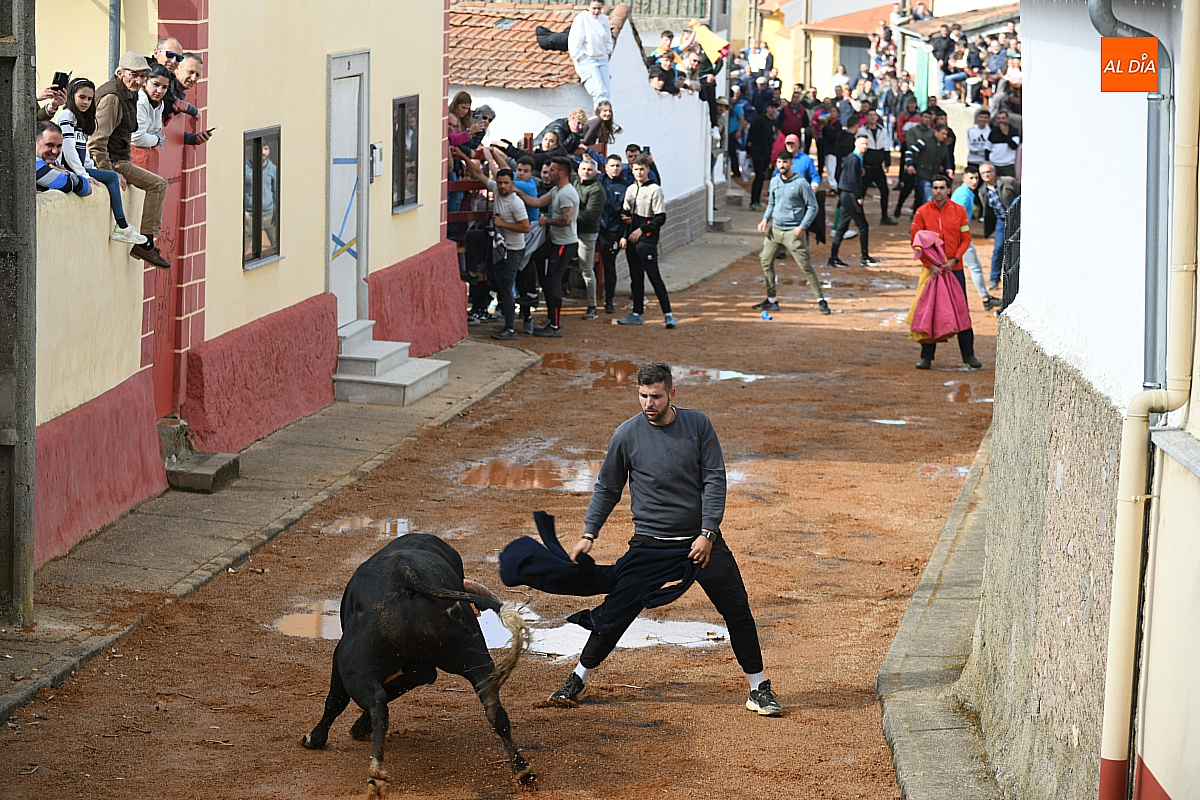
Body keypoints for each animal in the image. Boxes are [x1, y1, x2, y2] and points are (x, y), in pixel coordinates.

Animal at [301, 534, 534, 798]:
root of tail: (407, 574)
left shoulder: (342, 659)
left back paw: (376, 775)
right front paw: (359, 728)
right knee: (495, 711)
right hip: (476, 660)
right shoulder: (421, 669)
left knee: (376, 705)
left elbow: (336, 701)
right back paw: (522, 770)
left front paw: (316, 738)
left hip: (354, 667)